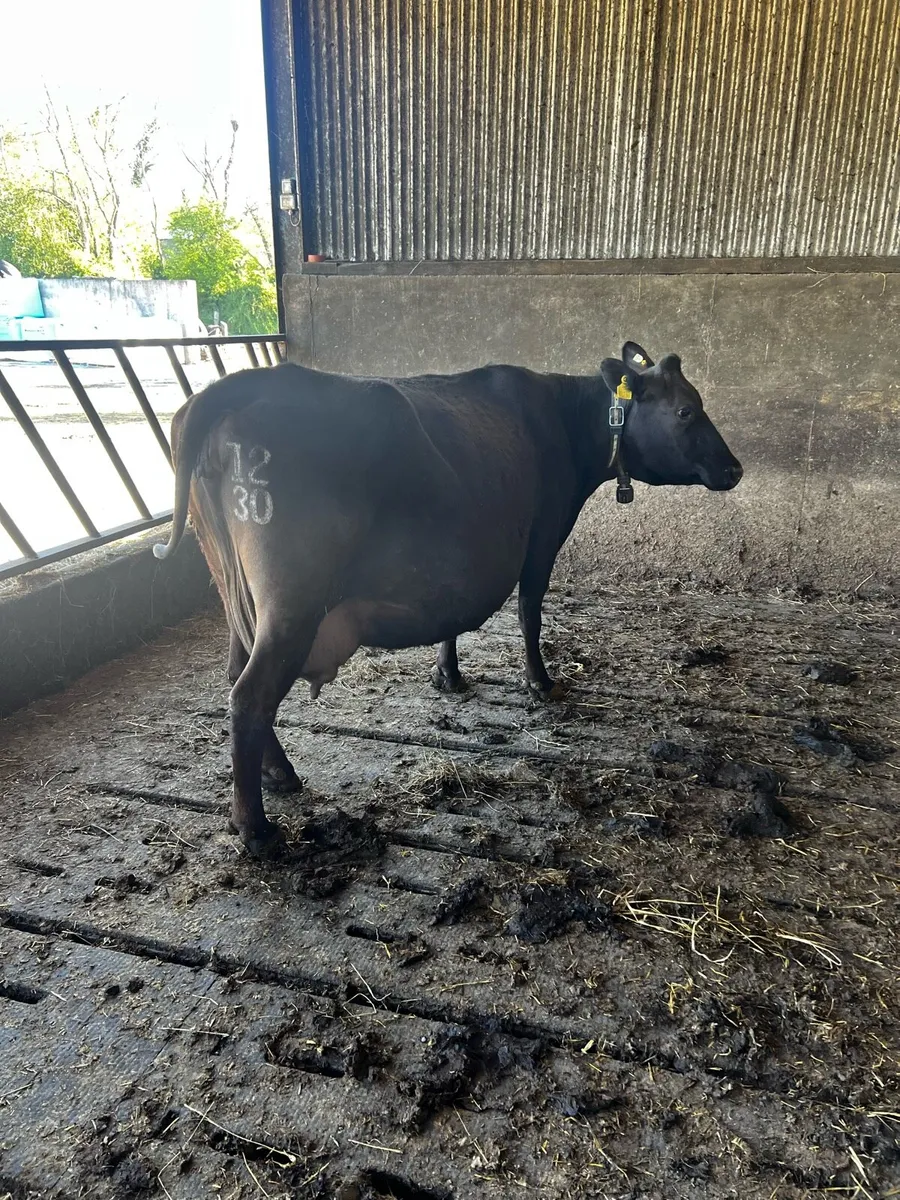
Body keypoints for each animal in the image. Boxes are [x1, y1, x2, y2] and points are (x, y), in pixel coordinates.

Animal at [154, 342, 742, 856]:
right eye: (687, 410)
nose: (735, 469)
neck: (565, 418)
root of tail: (235, 387)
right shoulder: (542, 535)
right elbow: (530, 613)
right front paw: (540, 682)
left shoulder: (459, 559)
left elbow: (452, 614)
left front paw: (448, 675)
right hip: (290, 604)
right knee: (251, 696)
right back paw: (256, 830)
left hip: (236, 593)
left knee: (236, 675)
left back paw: (279, 774)